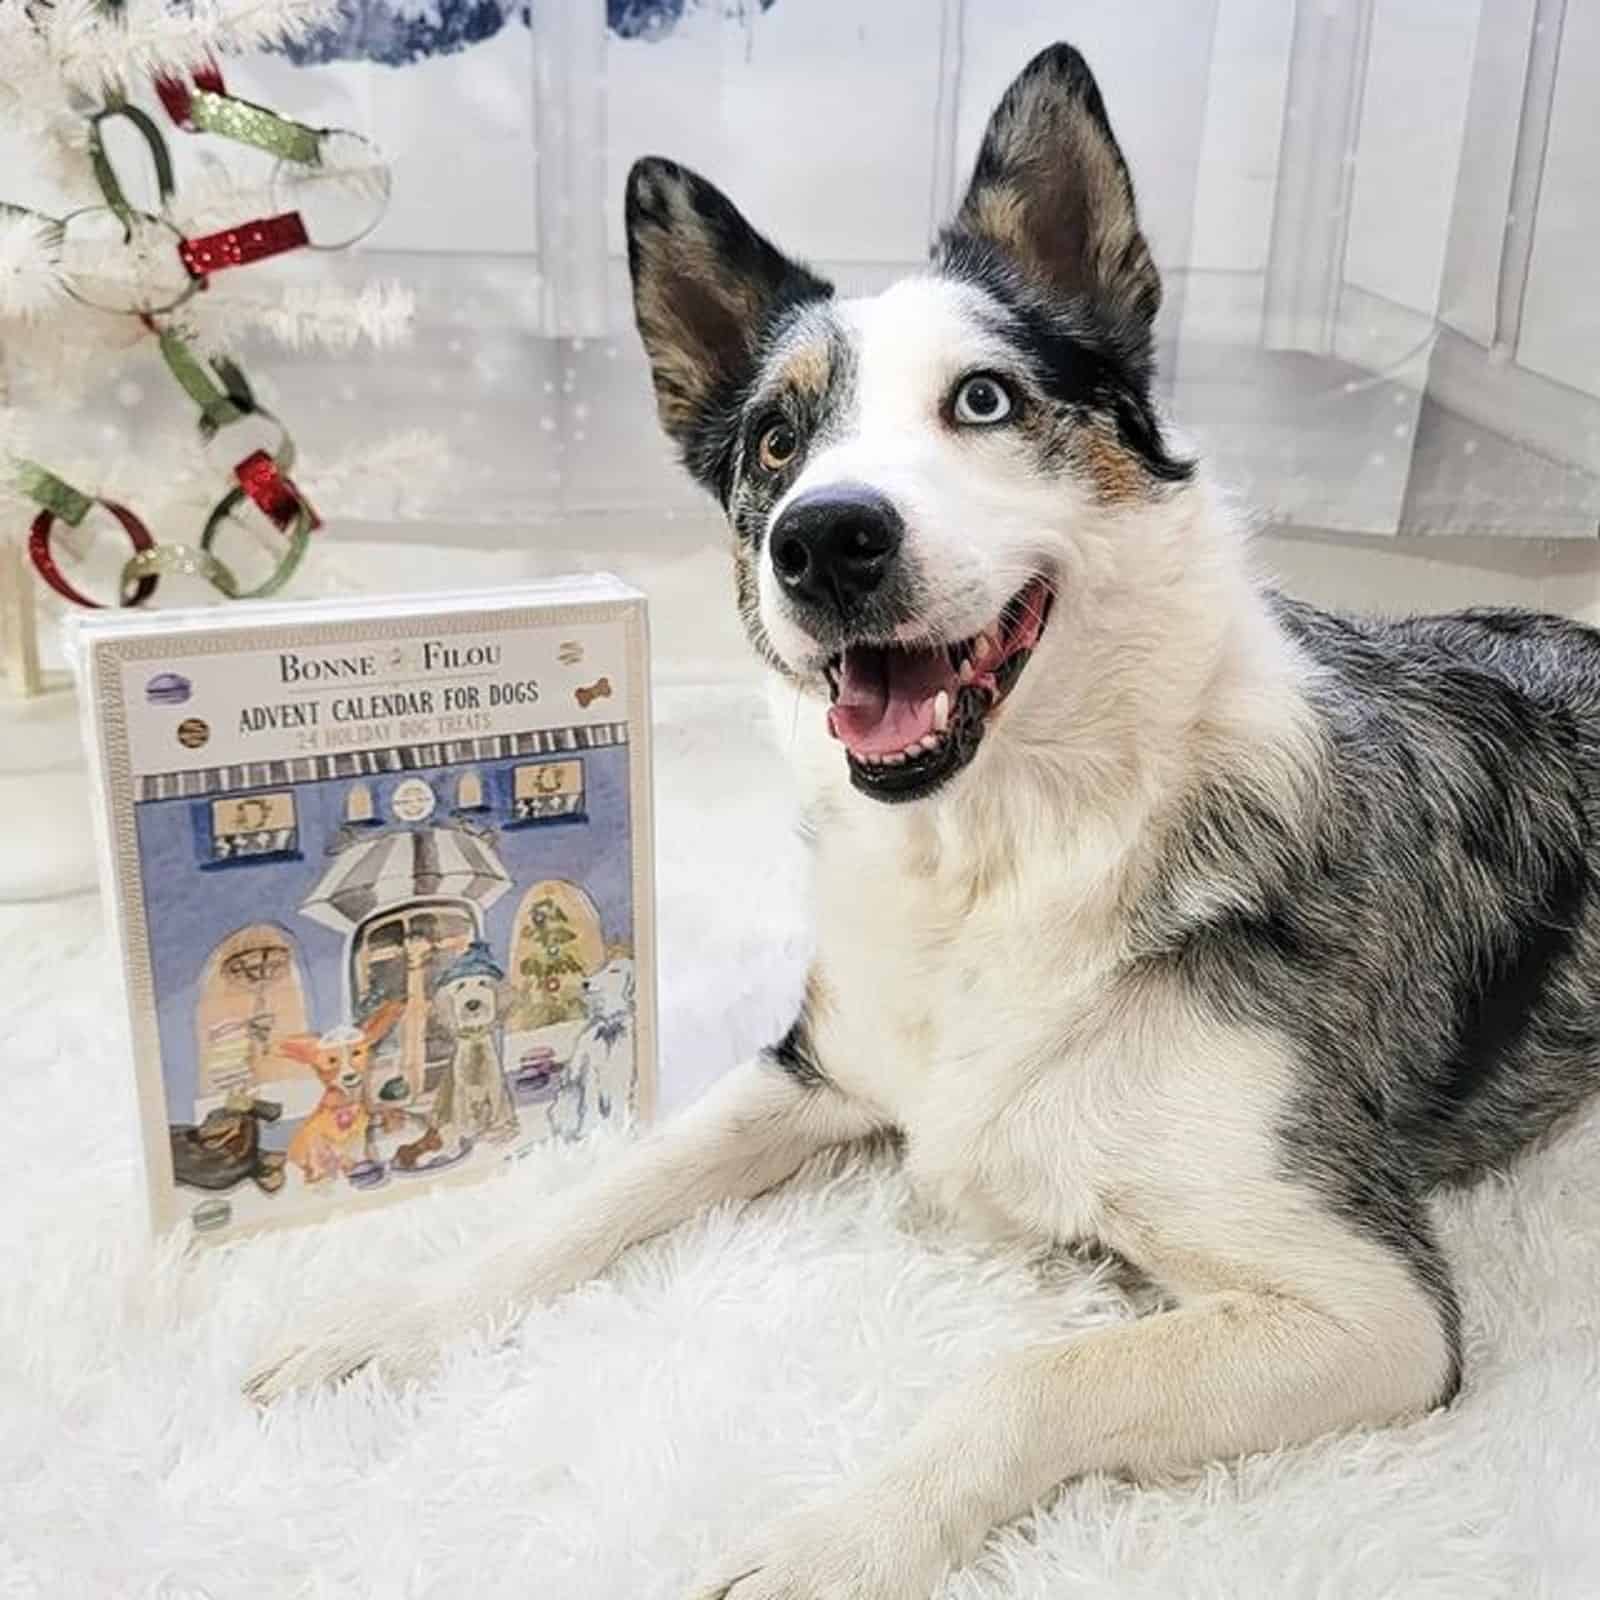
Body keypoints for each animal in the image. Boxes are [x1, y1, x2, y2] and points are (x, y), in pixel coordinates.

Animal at [550, 953, 636, 1145]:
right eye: (602, 967)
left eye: (615, 970)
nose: (585, 983)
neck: (609, 1027)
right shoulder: (590, 1075)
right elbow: (590, 1108)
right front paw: (591, 1134)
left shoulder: (622, 1075)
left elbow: (619, 1107)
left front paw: (620, 1130)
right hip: (567, 1098)